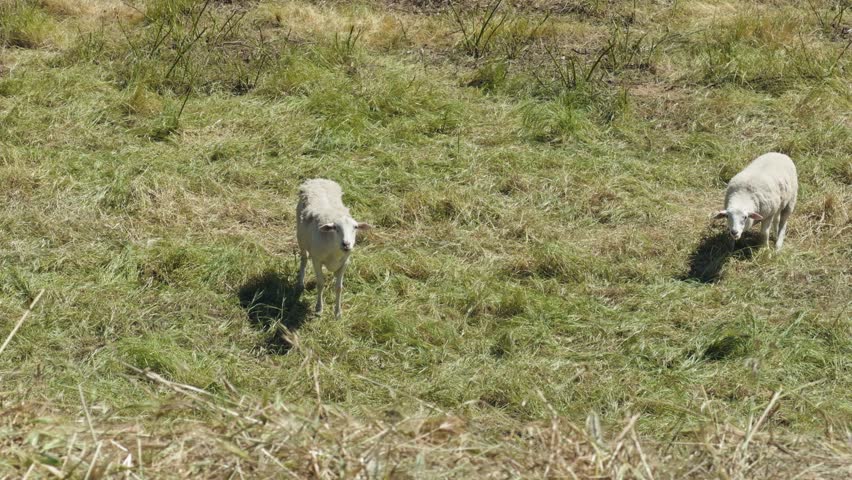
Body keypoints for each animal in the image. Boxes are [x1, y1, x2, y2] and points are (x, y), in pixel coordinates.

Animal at [296, 179, 371, 318]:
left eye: (356, 227)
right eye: (335, 228)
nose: (346, 244)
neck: (334, 249)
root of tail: (318, 179)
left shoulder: (344, 263)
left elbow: (339, 287)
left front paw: (338, 312)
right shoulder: (317, 260)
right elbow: (320, 283)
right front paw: (319, 308)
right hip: (300, 238)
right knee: (304, 258)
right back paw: (300, 283)